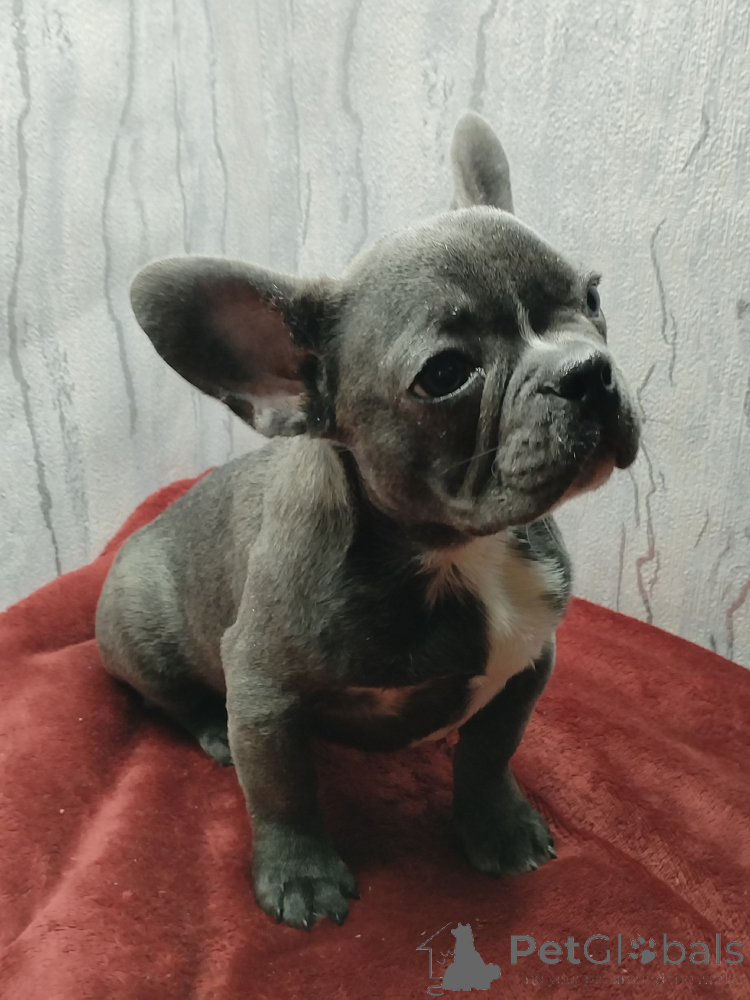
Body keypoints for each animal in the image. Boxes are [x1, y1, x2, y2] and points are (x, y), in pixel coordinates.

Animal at [96, 111, 640, 931]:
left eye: (594, 297)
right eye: (445, 375)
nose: (588, 371)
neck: (458, 553)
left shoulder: (529, 662)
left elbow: (488, 755)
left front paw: (497, 826)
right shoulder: (264, 689)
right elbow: (281, 791)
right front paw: (300, 874)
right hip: (142, 628)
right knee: (174, 698)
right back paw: (212, 730)